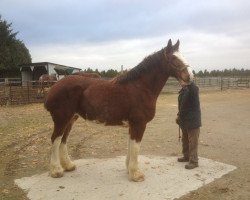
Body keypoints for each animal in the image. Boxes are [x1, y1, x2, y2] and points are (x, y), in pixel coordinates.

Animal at [44, 39, 193, 181]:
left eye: (183, 56)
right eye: (174, 58)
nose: (190, 77)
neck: (141, 87)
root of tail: (54, 87)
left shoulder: (132, 125)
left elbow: (130, 146)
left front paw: (129, 170)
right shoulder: (139, 124)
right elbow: (136, 147)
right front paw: (136, 174)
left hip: (71, 119)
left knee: (63, 139)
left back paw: (68, 166)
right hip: (61, 119)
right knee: (55, 139)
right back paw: (56, 170)